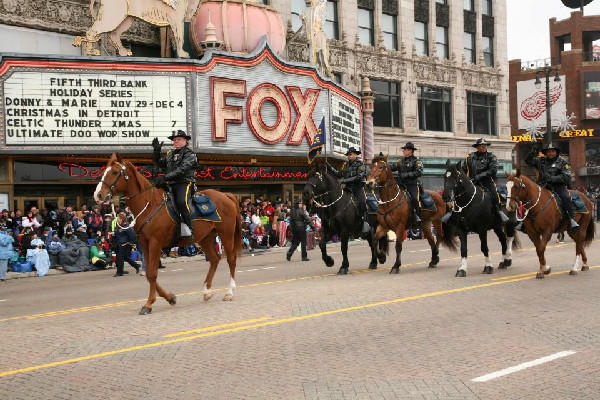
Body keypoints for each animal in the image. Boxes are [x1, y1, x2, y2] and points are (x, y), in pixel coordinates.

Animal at [92, 152, 241, 314]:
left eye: (114, 172)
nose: (98, 195)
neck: (149, 205)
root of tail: (225, 195)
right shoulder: (145, 245)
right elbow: (149, 274)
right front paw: (170, 297)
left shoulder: (155, 244)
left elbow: (152, 274)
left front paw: (149, 304)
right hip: (206, 237)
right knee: (214, 259)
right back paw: (207, 292)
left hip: (226, 234)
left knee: (231, 259)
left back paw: (229, 292)